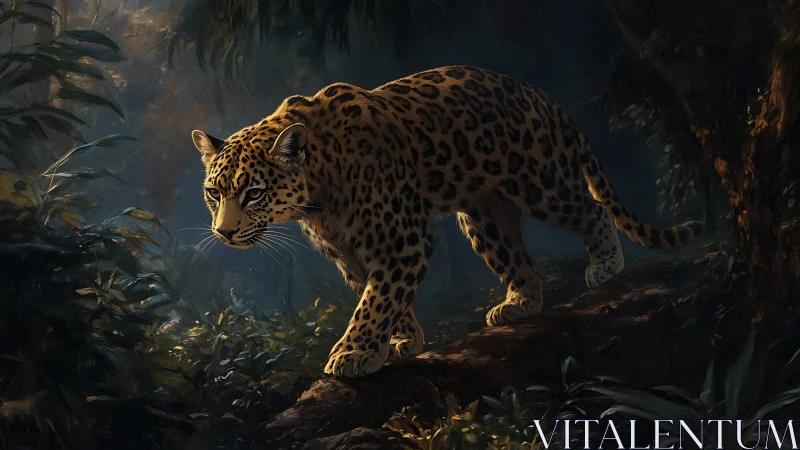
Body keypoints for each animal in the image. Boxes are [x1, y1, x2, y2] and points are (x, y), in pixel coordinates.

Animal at [191, 65, 702, 378]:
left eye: (253, 193)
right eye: (214, 193)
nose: (223, 232)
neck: (318, 186)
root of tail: (539, 94)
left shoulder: (402, 238)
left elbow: (376, 300)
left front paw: (353, 353)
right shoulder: (349, 254)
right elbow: (382, 297)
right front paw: (401, 342)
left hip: (540, 182)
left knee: (592, 208)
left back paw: (605, 266)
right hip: (483, 218)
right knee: (520, 263)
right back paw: (517, 305)